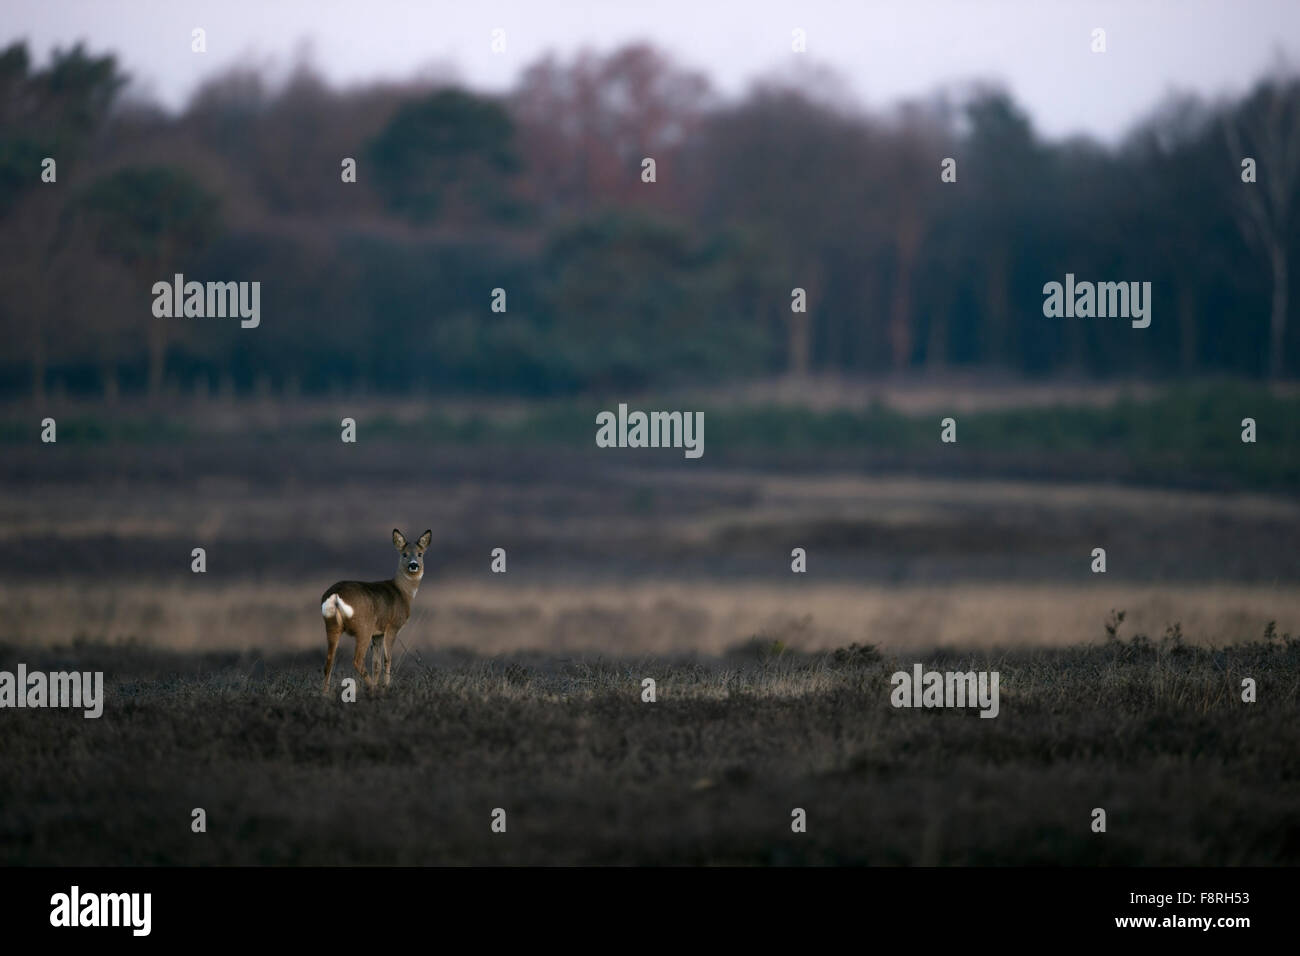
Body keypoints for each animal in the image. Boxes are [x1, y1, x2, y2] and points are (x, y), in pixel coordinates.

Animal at [321, 530, 431, 697]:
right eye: (404, 554)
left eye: (420, 554)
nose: (413, 565)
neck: (403, 592)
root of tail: (335, 595)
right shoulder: (392, 626)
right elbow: (387, 659)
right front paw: (386, 687)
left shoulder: (377, 633)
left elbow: (376, 663)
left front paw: (382, 684)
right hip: (363, 627)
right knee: (357, 660)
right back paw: (373, 688)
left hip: (332, 625)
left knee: (329, 660)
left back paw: (325, 694)